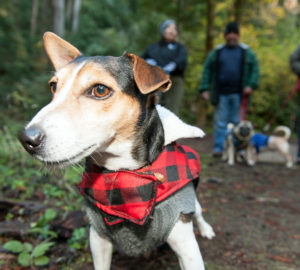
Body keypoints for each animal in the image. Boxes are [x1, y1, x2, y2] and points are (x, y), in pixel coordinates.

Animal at [18, 32, 216, 270]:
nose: (27, 138)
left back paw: (206, 229)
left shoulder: (187, 247)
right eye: (53, 87)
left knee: (199, 213)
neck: (121, 174)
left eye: (100, 90)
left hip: (191, 205)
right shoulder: (98, 239)